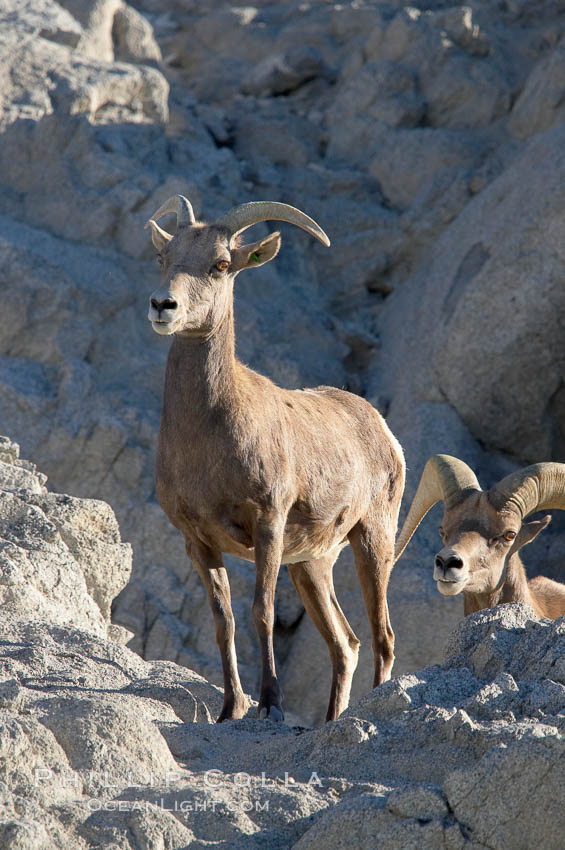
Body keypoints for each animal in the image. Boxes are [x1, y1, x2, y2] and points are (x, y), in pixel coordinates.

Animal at [143, 194, 404, 724]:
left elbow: (260, 612)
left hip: (373, 542)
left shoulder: (268, 525)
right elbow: (223, 621)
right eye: (164, 257)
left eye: (221, 265)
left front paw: (271, 706)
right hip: (313, 564)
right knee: (345, 644)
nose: (163, 306)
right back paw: (329, 720)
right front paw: (230, 709)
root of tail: (384, 432)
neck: (208, 439)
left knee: (382, 637)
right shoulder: (198, 541)